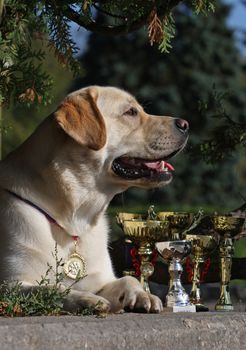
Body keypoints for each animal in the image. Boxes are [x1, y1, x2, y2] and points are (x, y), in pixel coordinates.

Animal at [0, 87, 189, 314]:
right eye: (131, 112)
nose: (185, 124)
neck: (75, 218)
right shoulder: (11, 285)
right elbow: (51, 288)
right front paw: (86, 299)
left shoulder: (100, 280)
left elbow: (128, 279)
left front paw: (143, 295)